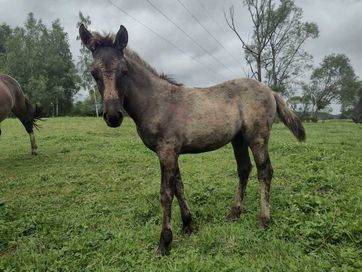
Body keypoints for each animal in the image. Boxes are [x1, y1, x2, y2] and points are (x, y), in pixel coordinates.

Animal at [79, 23, 306, 255]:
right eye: (93, 73)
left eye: (123, 71)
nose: (113, 116)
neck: (156, 102)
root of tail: (270, 90)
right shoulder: (172, 152)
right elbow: (179, 187)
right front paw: (188, 225)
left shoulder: (167, 151)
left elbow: (166, 193)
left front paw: (164, 242)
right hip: (239, 139)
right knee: (244, 169)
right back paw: (234, 213)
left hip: (257, 136)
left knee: (264, 171)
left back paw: (263, 220)